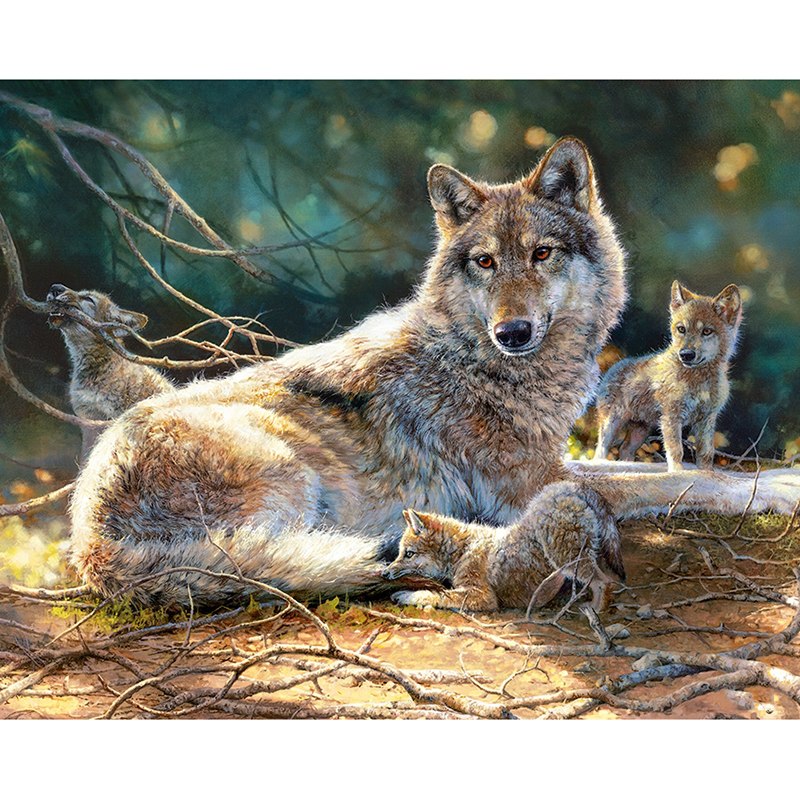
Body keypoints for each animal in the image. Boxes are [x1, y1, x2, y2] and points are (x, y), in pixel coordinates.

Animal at [384, 481, 625, 613]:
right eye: (400, 553)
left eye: (409, 554)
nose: (384, 573)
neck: (462, 549)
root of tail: (571, 488)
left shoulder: (482, 596)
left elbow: (437, 595)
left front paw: (407, 595)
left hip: (568, 559)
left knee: (604, 581)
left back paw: (596, 610)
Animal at [594, 281, 742, 470]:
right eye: (681, 329)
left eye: (707, 331)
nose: (686, 355)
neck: (699, 381)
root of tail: (613, 367)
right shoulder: (671, 417)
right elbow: (676, 451)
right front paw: (677, 472)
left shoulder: (707, 419)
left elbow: (706, 453)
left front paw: (707, 473)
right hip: (612, 423)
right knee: (600, 450)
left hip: (641, 429)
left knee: (625, 449)